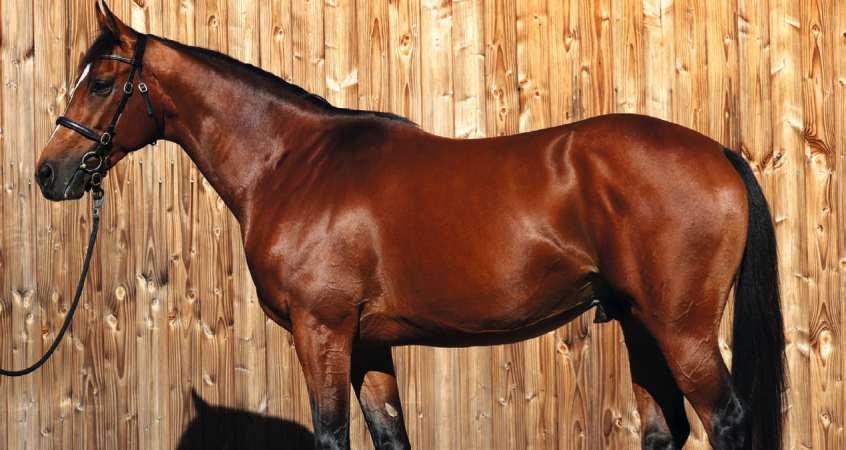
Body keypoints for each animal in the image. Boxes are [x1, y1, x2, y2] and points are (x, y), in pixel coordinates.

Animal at [35, 3, 785, 450]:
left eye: (100, 82)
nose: (49, 174)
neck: (293, 163)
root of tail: (715, 152)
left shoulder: (321, 331)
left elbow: (332, 435)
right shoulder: (367, 344)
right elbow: (389, 437)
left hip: (681, 329)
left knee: (725, 420)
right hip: (637, 322)